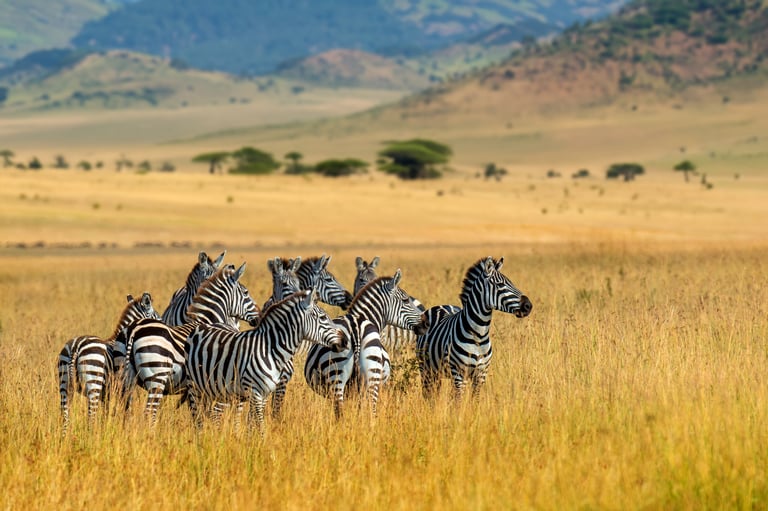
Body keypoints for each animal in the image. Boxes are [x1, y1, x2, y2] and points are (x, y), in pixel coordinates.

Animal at [57, 292, 159, 433]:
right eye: (156, 316)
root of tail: (75, 346)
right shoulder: (126, 387)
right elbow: (126, 410)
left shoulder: (107, 394)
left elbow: (106, 414)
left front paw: (105, 429)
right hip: (93, 383)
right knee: (91, 417)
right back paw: (91, 436)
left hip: (64, 385)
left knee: (65, 417)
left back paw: (64, 437)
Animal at [121, 263, 260, 423]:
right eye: (246, 292)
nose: (259, 317)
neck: (207, 321)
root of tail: (134, 330)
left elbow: (199, 414)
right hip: (157, 378)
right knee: (150, 413)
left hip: (129, 380)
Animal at [184, 289, 349, 435]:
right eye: (323, 318)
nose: (345, 341)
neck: (269, 350)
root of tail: (202, 325)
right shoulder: (255, 392)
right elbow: (260, 426)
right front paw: (262, 447)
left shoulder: (264, 393)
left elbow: (253, 424)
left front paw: (252, 444)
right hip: (194, 387)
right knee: (198, 418)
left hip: (216, 389)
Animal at [304, 270, 428, 418]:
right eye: (405, 300)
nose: (426, 323)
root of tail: (355, 327)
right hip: (368, 374)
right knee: (369, 410)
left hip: (339, 375)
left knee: (343, 412)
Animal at [415, 256, 533, 400]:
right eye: (500, 285)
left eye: (512, 283)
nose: (528, 306)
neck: (479, 335)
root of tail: (440, 306)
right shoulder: (459, 374)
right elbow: (458, 402)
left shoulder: (481, 375)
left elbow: (474, 401)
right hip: (426, 368)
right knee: (428, 394)